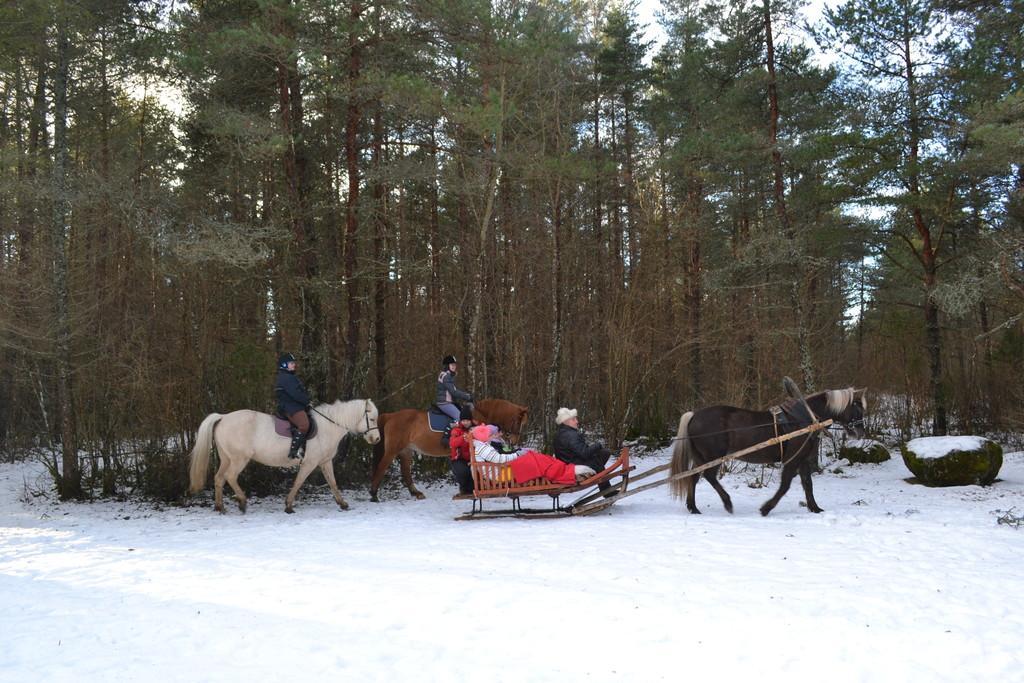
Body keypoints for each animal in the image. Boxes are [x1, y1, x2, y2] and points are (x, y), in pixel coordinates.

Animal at [188, 397, 380, 516]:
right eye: (372, 418)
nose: (377, 439)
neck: (328, 427)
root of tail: (223, 417)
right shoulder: (309, 463)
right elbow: (299, 482)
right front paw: (288, 506)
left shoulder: (325, 462)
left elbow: (332, 483)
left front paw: (343, 504)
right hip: (238, 459)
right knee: (230, 477)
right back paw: (242, 502)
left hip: (226, 458)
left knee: (219, 478)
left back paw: (220, 507)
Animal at [368, 395, 528, 501]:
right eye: (517, 421)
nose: (515, 441)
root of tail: (390, 416)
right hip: (392, 450)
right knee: (382, 467)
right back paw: (374, 494)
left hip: (406, 450)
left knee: (406, 472)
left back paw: (416, 493)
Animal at [667, 387, 868, 516]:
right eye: (857, 408)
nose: (860, 433)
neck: (805, 419)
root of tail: (694, 415)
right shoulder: (792, 459)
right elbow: (785, 485)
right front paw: (766, 509)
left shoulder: (802, 459)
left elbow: (808, 484)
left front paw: (815, 508)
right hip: (713, 456)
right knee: (709, 476)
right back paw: (727, 503)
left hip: (701, 457)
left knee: (693, 477)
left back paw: (693, 508)